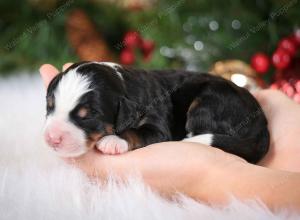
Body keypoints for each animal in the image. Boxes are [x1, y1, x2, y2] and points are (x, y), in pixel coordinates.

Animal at [44, 61, 270, 162]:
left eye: (88, 116)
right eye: (49, 105)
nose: (51, 139)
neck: (125, 84)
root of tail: (261, 123)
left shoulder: (158, 126)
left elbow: (136, 132)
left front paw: (114, 141)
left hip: (209, 101)